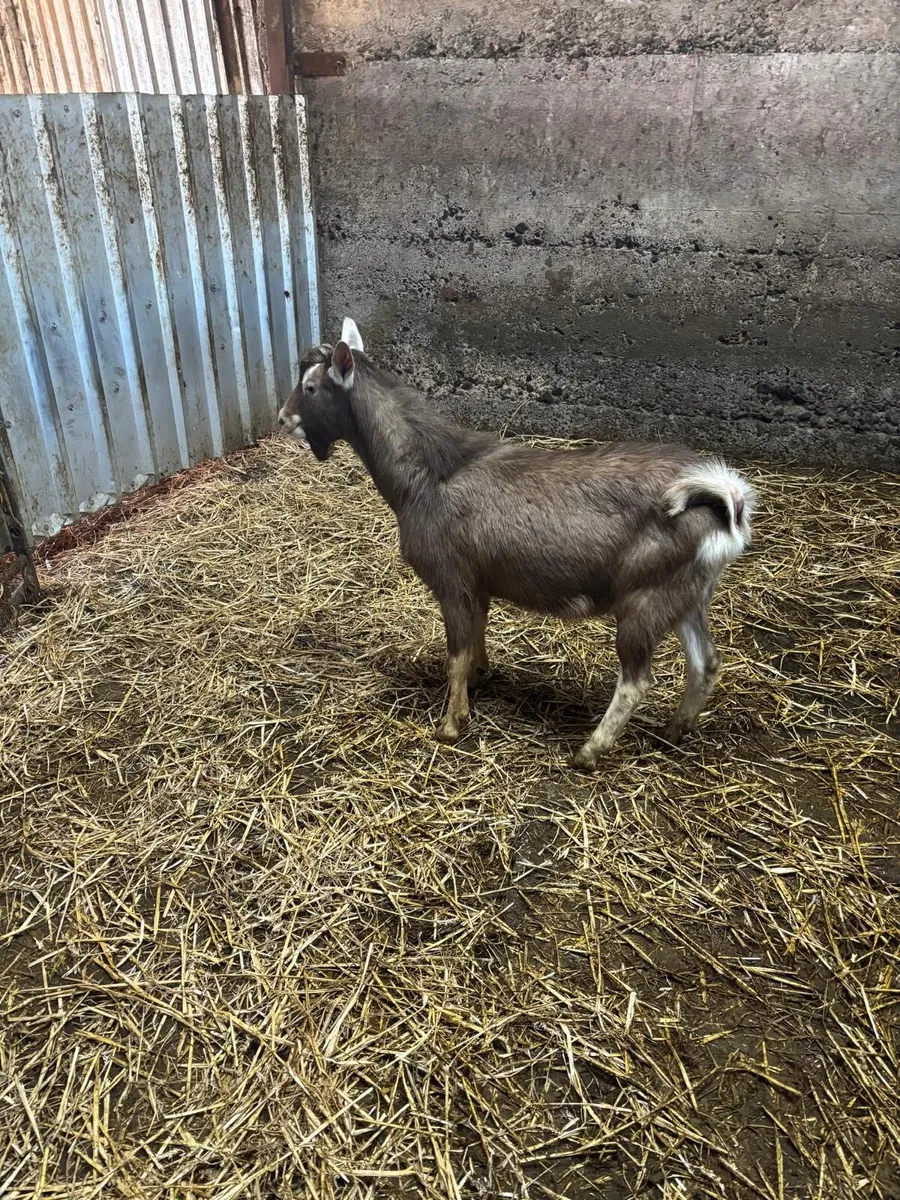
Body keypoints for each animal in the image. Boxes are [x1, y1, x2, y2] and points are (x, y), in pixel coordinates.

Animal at [278, 319, 756, 768]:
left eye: (311, 387)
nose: (283, 419)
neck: (430, 473)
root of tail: (725, 501)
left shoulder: (451, 581)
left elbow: (455, 650)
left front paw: (449, 725)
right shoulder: (478, 582)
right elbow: (476, 632)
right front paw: (477, 679)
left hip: (644, 598)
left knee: (637, 680)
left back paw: (589, 751)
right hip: (686, 595)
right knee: (705, 662)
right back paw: (674, 730)